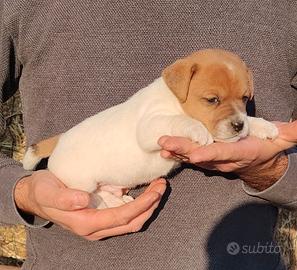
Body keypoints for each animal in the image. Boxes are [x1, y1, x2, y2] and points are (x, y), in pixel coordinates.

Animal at [22, 48, 278, 209]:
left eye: (244, 98)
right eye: (212, 100)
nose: (238, 125)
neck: (174, 99)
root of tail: (60, 139)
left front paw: (263, 126)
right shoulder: (149, 126)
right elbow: (178, 121)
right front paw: (197, 130)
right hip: (80, 181)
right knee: (91, 198)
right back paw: (111, 204)